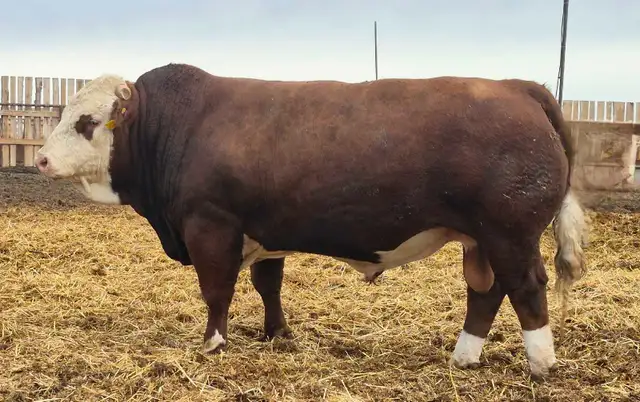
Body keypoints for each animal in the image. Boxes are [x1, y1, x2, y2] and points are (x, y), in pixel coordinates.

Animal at [34, 63, 587, 379]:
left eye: (87, 122)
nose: (40, 159)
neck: (177, 125)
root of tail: (517, 87)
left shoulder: (210, 225)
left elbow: (217, 290)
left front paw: (213, 344)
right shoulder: (264, 231)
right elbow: (267, 284)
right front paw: (277, 334)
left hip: (510, 232)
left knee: (526, 287)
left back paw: (541, 364)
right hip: (479, 239)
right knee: (485, 291)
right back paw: (465, 356)